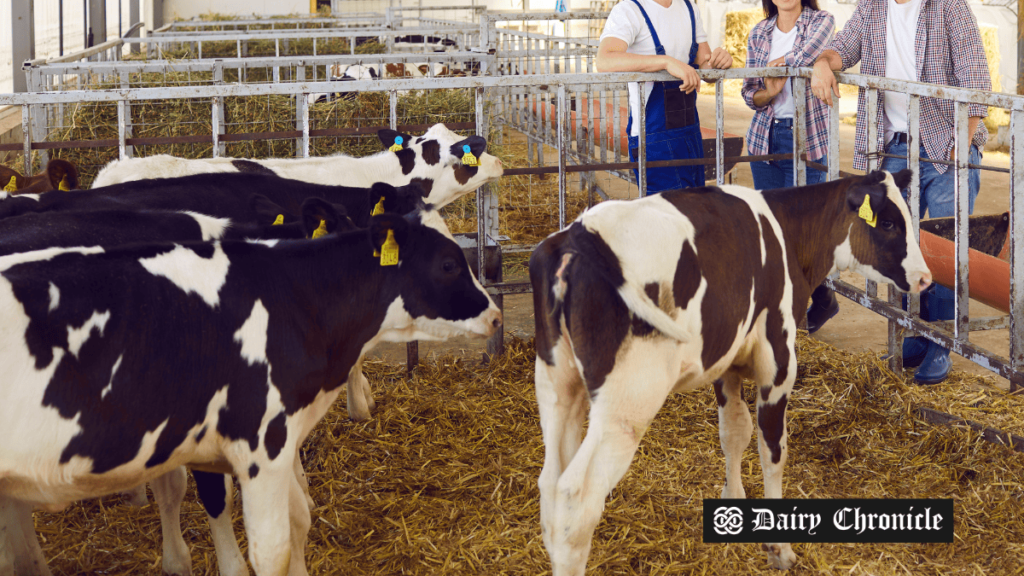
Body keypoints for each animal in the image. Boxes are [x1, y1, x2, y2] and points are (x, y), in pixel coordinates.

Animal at [0, 212, 503, 573]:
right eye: (448, 264)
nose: (496, 315)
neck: (292, 298)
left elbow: (299, 521)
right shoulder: (260, 444)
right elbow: (269, 547)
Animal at [532, 168, 933, 569]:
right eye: (889, 223)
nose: (925, 277)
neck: (786, 235)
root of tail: (580, 234)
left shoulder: (729, 363)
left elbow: (734, 432)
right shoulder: (778, 360)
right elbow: (773, 449)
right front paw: (779, 548)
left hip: (558, 387)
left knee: (550, 484)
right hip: (626, 404)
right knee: (576, 496)